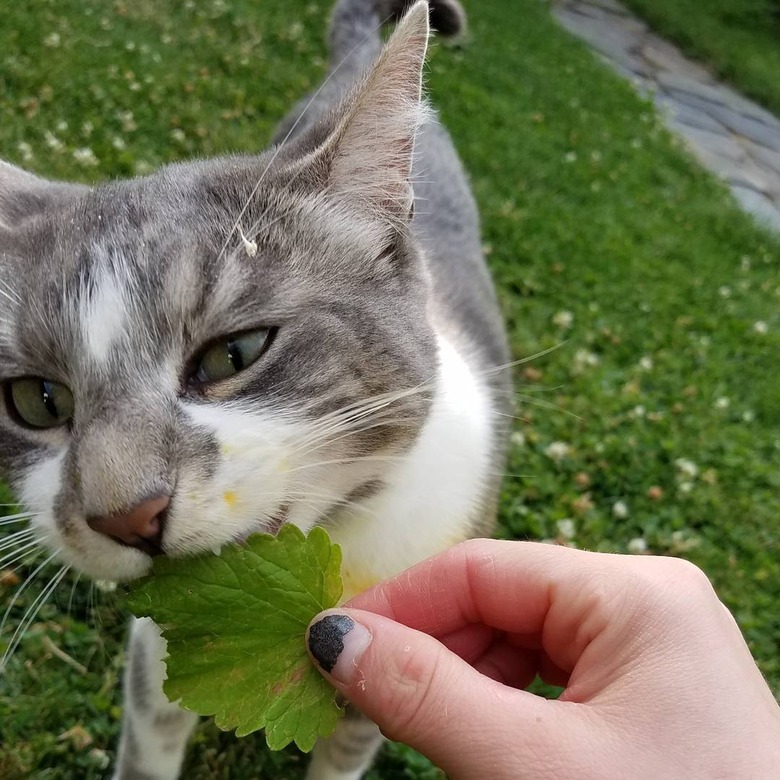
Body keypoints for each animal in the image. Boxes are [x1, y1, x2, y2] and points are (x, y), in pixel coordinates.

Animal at [0, 1, 508, 780]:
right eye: (38, 400)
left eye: (233, 354)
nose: (126, 516)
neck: (341, 546)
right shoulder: (168, 647)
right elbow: (151, 736)